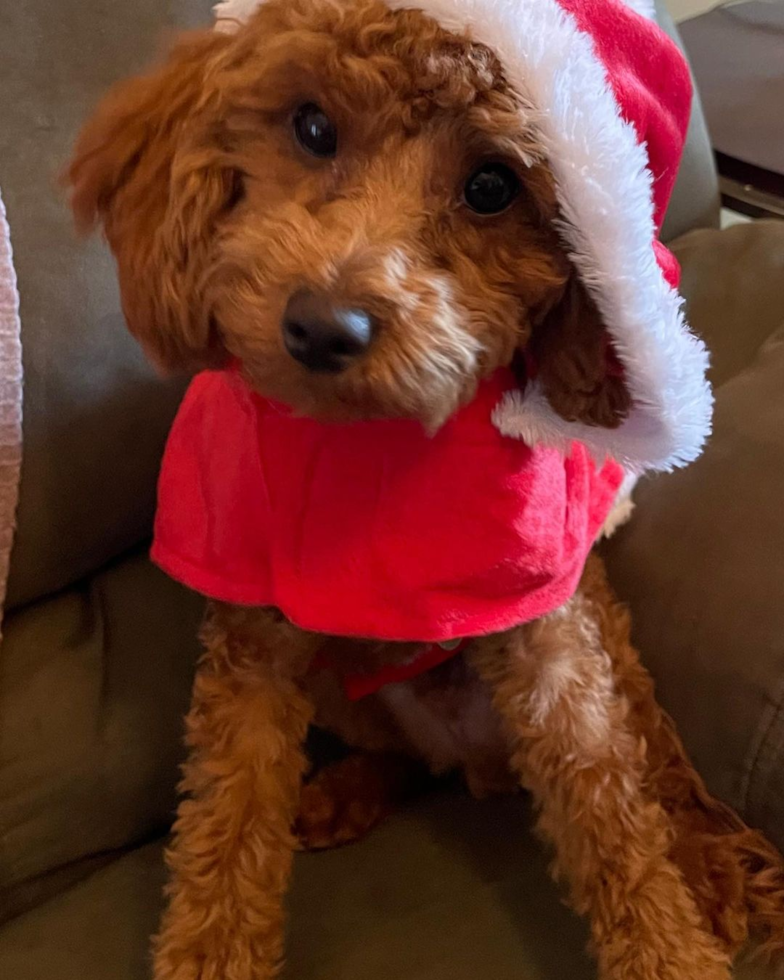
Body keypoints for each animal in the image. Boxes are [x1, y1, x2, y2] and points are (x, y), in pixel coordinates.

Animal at [67, 1, 784, 980]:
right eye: (313, 127)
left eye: (491, 186)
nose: (322, 326)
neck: (371, 440)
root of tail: (471, 767)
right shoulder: (255, 641)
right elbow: (226, 828)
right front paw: (212, 946)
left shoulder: (549, 645)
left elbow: (614, 823)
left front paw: (673, 946)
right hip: (342, 688)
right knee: (404, 759)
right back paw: (340, 793)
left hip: (604, 635)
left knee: (658, 758)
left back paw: (712, 867)